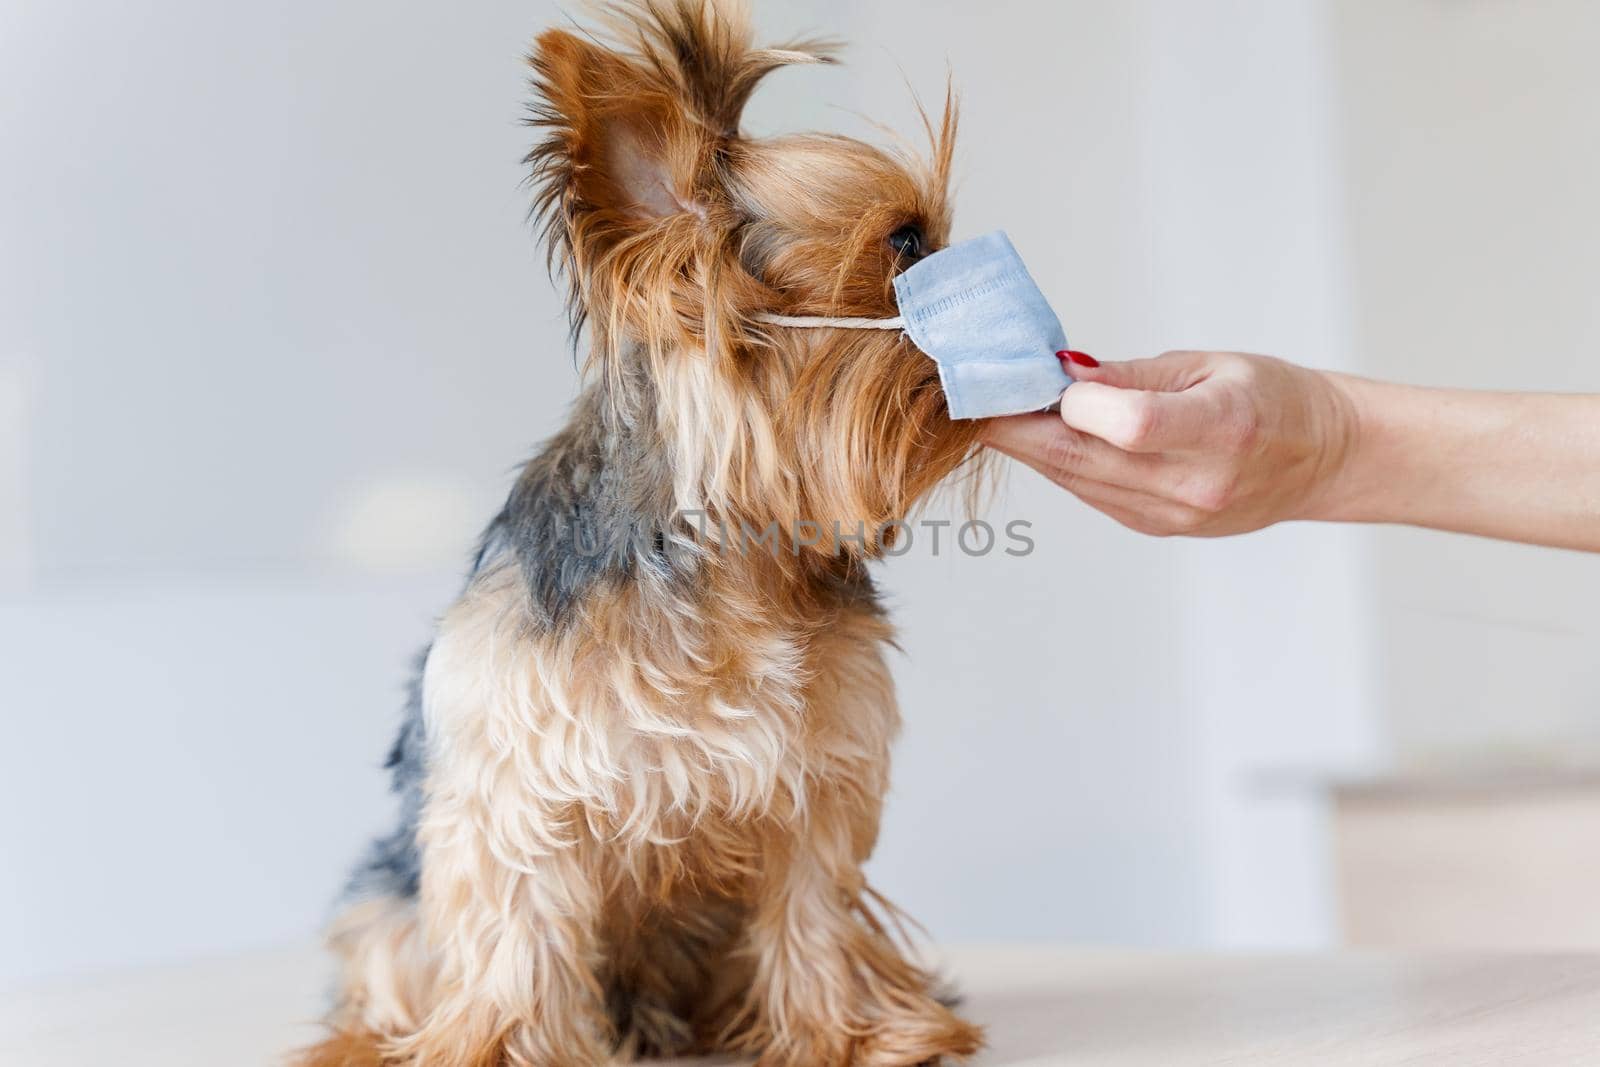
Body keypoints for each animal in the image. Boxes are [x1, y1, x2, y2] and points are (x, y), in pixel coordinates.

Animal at [294, 4, 979, 1062]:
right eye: (906, 241)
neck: (730, 550)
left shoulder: (818, 774)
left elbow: (813, 909)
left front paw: (849, 1035)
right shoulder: (518, 784)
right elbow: (519, 927)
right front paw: (501, 1046)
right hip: (384, 903)